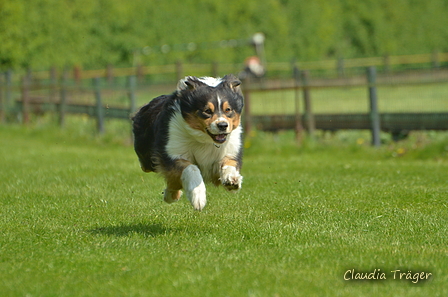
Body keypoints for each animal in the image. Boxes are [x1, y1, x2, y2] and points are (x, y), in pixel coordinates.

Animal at [132, 74, 245, 209]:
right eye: (207, 111)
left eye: (228, 109)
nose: (223, 125)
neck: (205, 140)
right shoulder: (173, 152)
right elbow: (191, 168)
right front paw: (198, 198)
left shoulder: (230, 149)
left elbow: (229, 163)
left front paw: (232, 180)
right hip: (148, 160)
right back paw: (170, 195)